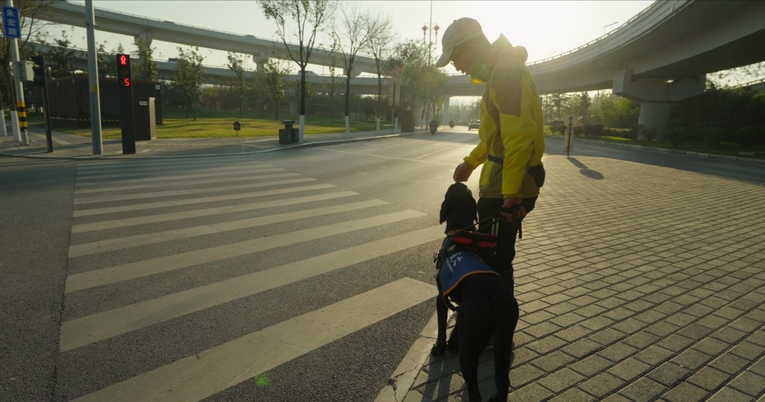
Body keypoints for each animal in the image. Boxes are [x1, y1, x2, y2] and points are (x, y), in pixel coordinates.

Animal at [432, 184, 516, 402]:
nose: (458, 182)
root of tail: (498, 297)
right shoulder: (461, 305)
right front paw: (452, 342)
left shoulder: (440, 297)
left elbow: (442, 326)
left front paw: (440, 347)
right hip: (504, 337)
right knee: (504, 382)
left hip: (469, 350)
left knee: (474, 392)